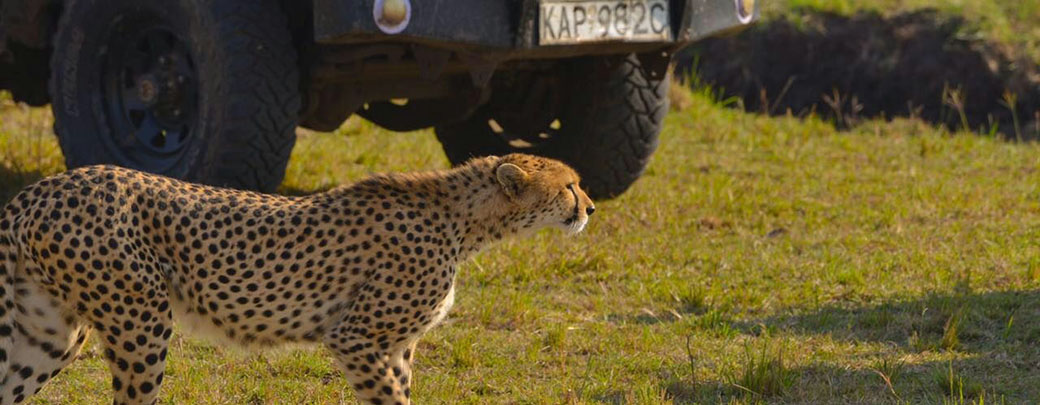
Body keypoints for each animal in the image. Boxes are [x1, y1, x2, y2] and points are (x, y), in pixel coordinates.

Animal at [0, 153, 594, 401]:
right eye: (569, 186)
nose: (590, 208)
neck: (464, 221)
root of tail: (43, 188)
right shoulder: (356, 338)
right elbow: (389, 399)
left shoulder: (396, 348)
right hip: (140, 320)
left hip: (47, 335)